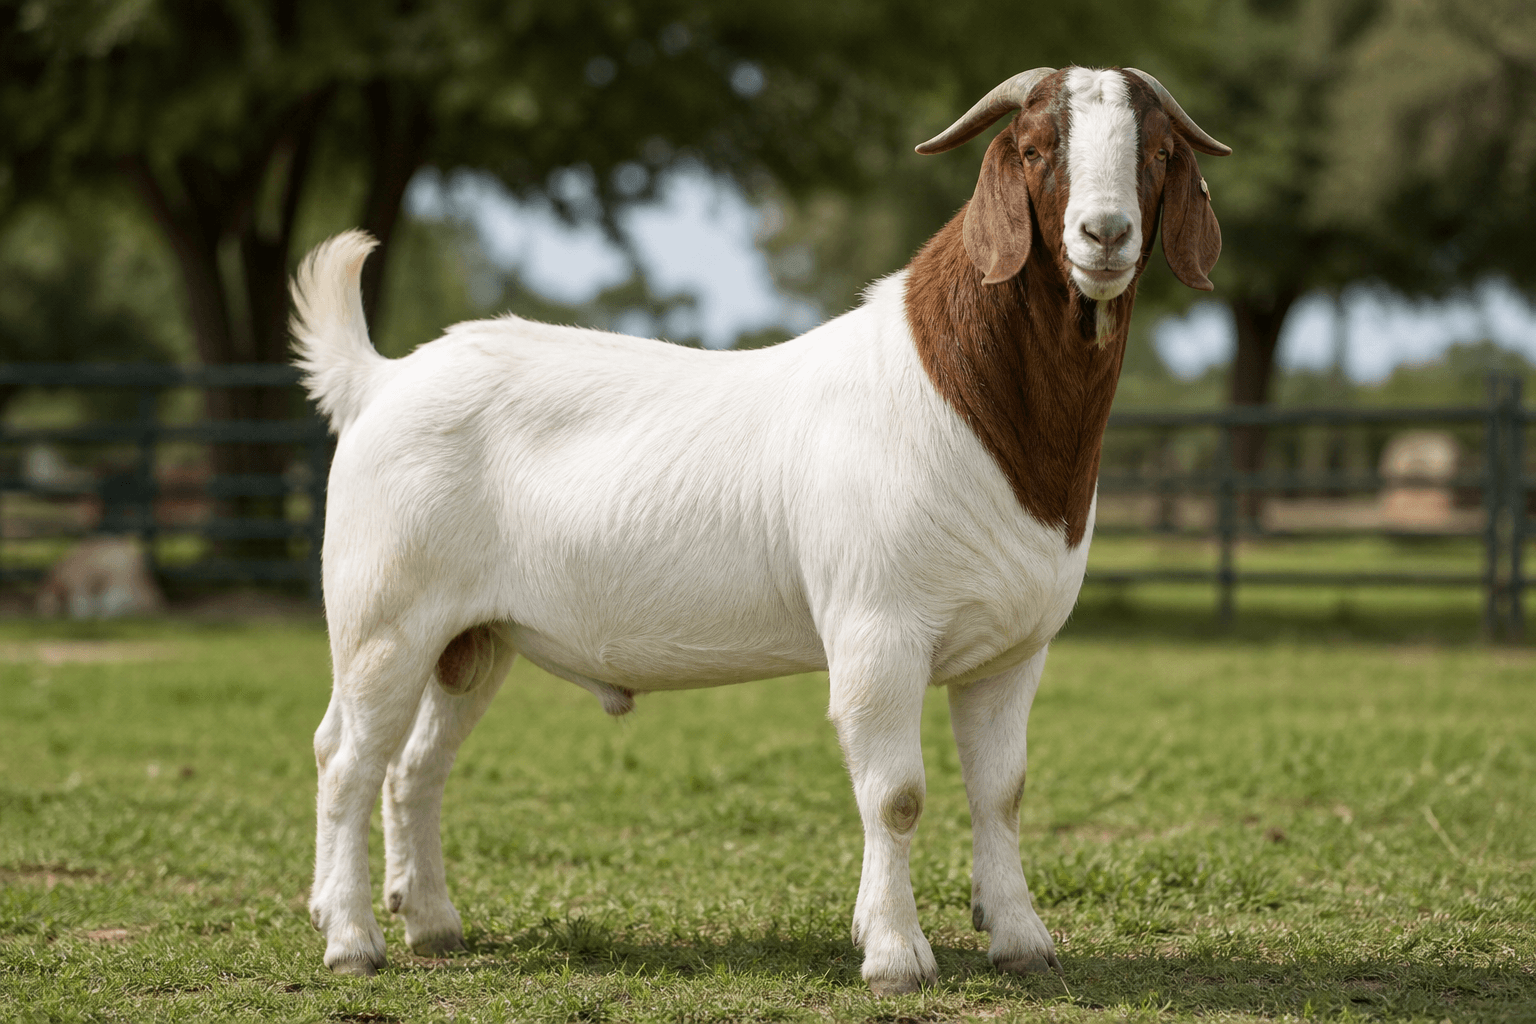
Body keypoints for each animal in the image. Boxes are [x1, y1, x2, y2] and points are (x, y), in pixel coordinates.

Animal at [294, 66, 1228, 993]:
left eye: (1158, 153)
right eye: (1035, 150)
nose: (1104, 234)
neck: (973, 406)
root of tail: (379, 380)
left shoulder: (1013, 649)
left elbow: (1002, 790)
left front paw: (1022, 939)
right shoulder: (877, 631)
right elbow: (896, 794)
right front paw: (895, 954)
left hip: (473, 637)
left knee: (414, 766)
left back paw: (432, 923)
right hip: (383, 615)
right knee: (345, 760)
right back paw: (350, 938)